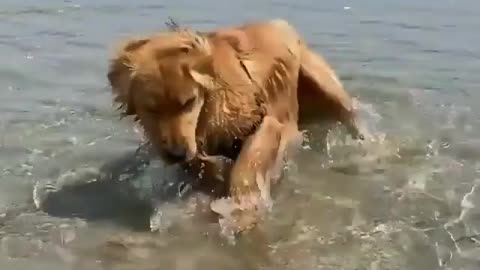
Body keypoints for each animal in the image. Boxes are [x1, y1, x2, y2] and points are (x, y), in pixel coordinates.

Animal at [107, 18, 362, 234]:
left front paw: (243, 208)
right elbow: (204, 168)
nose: (177, 154)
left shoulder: (267, 121)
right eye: (151, 109)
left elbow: (249, 161)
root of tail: (280, 23)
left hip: (326, 87)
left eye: (189, 102)